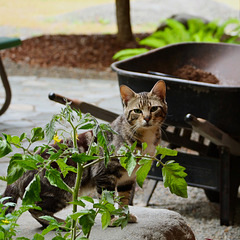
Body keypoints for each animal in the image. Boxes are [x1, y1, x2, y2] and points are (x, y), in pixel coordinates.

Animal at [1, 80, 167, 227]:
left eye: (154, 108)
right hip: (62, 191)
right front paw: (112, 219)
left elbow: (124, 200)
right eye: (137, 111)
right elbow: (107, 202)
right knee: (35, 209)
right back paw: (62, 224)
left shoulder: (127, 179)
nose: (147, 118)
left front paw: (124, 216)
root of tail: (22, 165)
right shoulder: (104, 175)